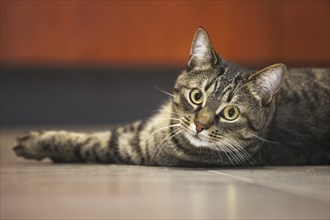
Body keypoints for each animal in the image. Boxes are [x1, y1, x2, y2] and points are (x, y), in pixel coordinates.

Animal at [13, 28, 330, 168]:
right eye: (197, 96)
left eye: (230, 113)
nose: (200, 125)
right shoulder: (147, 125)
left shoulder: (135, 147)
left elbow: (90, 142)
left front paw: (35, 143)